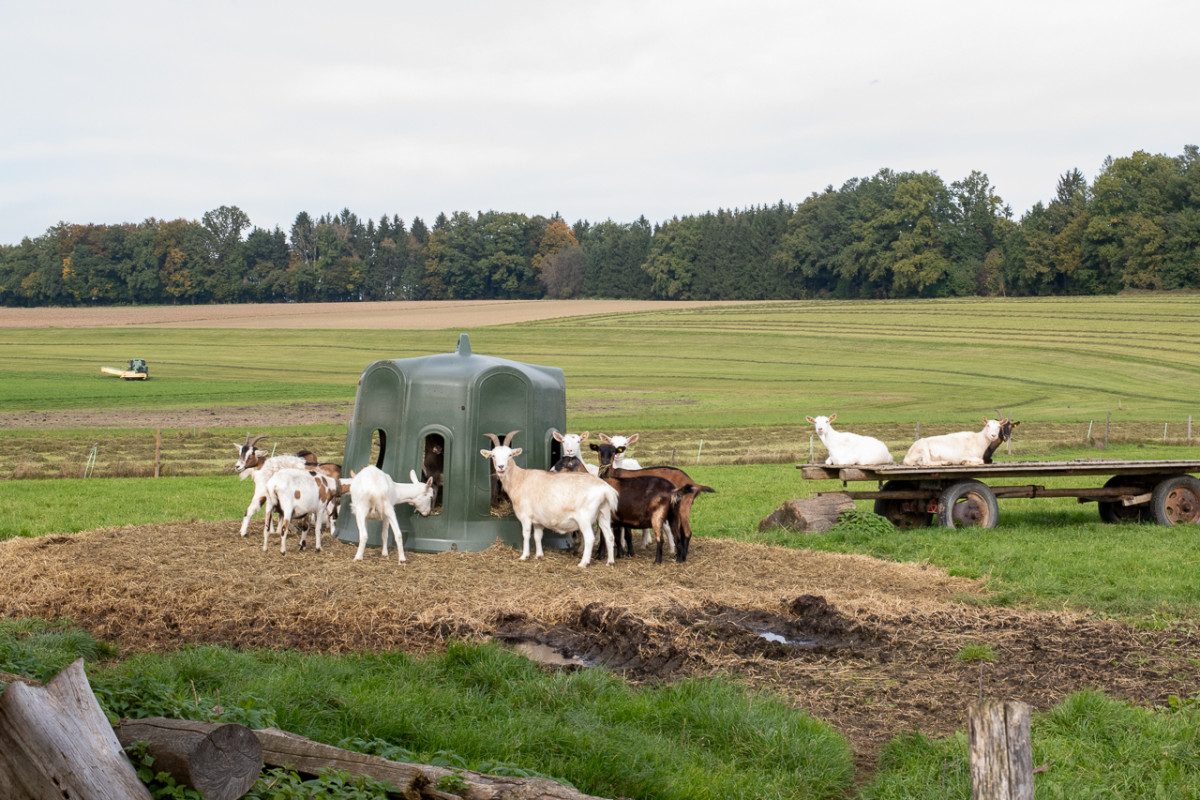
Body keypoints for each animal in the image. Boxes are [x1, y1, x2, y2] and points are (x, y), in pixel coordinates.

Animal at [482, 431, 624, 568]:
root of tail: (605, 489)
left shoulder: (525, 516)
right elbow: (538, 536)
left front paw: (524, 556)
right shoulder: (538, 519)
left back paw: (583, 563)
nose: (501, 467)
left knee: (590, 538)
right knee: (609, 536)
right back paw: (610, 562)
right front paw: (539, 555)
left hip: (584, 518)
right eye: (493, 455)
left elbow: (526, 534)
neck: (520, 478)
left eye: (510, 455)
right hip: (604, 513)